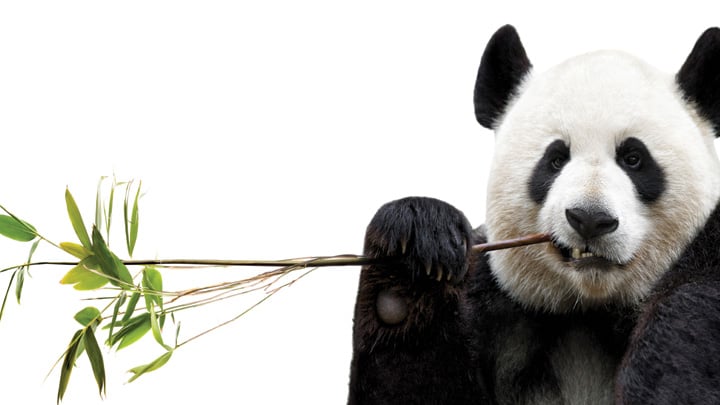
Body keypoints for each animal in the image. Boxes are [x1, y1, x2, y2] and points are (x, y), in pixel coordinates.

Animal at [348, 25, 720, 404]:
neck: (588, 309)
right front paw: (415, 254)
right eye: (555, 159)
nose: (590, 219)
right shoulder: (493, 303)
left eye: (634, 158)